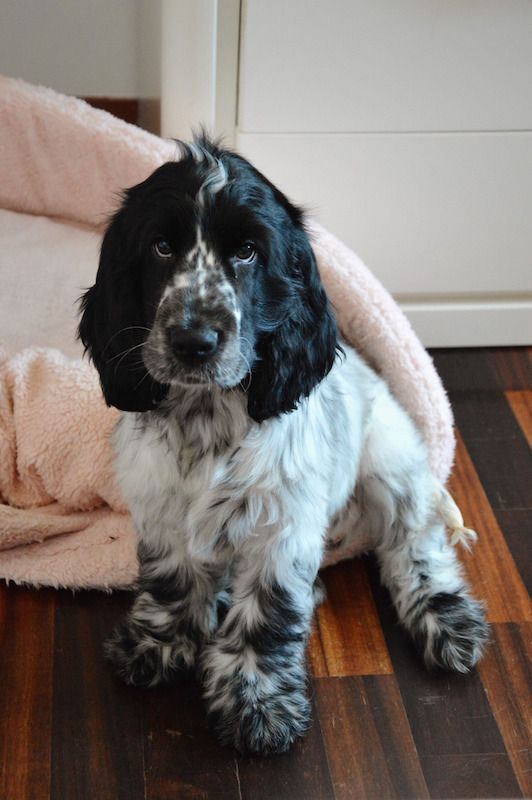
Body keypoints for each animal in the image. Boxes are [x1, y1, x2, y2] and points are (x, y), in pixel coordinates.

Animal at [77, 134, 488, 752]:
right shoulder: (161, 508)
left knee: (415, 545)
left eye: (248, 252)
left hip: (393, 465)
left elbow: (267, 615)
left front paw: (256, 706)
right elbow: (171, 580)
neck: (208, 414)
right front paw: (156, 646)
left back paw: (447, 623)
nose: (194, 341)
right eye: (161, 247)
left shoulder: (281, 527)